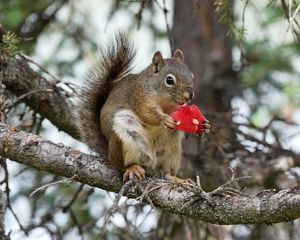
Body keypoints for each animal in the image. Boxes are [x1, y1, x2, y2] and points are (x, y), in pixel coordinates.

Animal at [76, 31, 210, 183]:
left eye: (192, 76)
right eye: (169, 80)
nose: (189, 95)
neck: (165, 101)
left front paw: (204, 125)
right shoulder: (139, 94)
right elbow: (146, 113)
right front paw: (164, 119)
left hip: (173, 150)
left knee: (167, 172)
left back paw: (177, 179)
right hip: (123, 140)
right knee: (120, 165)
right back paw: (132, 168)